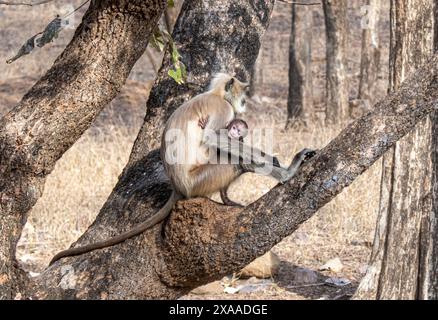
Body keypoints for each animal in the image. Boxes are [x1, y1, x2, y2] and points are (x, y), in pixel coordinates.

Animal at [49, 73, 314, 264]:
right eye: (243, 93)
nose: (245, 102)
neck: (216, 94)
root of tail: (178, 187)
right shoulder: (223, 109)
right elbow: (213, 139)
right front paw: (276, 162)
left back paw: (227, 199)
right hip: (200, 180)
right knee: (235, 160)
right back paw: (286, 173)